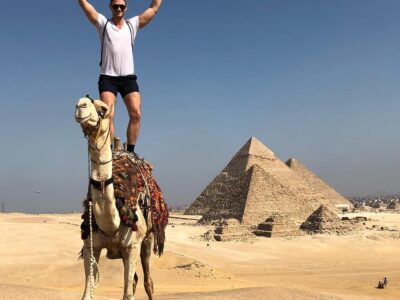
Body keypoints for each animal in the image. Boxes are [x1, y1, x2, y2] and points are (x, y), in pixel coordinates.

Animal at [75, 96, 155, 300]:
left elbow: (128, 295)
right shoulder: (90, 246)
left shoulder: (132, 246)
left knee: (147, 282)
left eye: (102, 108)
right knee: (135, 279)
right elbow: (87, 294)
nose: (81, 105)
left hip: (147, 239)